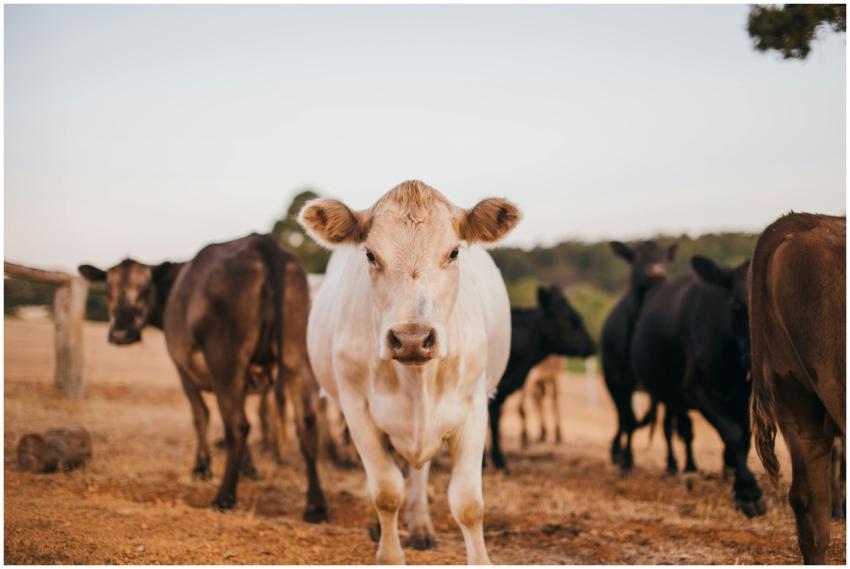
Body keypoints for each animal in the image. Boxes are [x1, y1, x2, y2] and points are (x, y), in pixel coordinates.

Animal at [78, 233, 328, 521]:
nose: (120, 334)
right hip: (298, 354)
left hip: (225, 358)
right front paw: (249, 468)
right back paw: (316, 506)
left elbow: (200, 415)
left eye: (144, 290)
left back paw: (224, 497)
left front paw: (202, 467)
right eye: (108, 290)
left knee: (237, 425)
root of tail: (261, 241)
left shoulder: (182, 367)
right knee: (306, 422)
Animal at [298, 180, 519, 564]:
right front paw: (389, 554)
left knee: (419, 471)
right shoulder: (356, 408)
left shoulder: (473, 407)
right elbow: (386, 490)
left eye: (454, 252)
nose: (412, 339)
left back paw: (420, 526)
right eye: (371, 255)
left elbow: (468, 503)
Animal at [487, 286, 596, 471]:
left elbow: (495, 420)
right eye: (566, 321)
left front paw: (498, 462)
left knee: (552, 401)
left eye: (579, 317)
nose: (592, 345)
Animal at [600, 240, 675, 472]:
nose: (657, 271)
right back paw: (617, 451)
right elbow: (628, 419)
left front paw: (672, 463)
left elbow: (663, 423)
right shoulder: (618, 378)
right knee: (623, 417)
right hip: (613, 382)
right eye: (637, 256)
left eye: (665, 256)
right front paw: (626, 459)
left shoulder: (663, 382)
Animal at [629, 254, 766, 517]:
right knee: (677, 429)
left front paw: (735, 478)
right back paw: (684, 469)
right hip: (669, 394)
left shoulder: (745, 394)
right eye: (736, 304)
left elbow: (743, 436)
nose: (757, 358)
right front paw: (748, 494)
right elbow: (732, 433)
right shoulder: (696, 388)